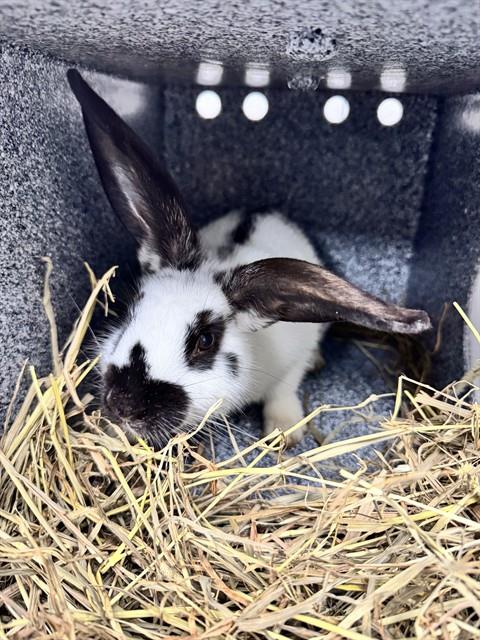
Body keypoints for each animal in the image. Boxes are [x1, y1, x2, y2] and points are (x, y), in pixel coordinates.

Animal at [67, 69, 431, 449]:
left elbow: (284, 389)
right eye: (130, 311)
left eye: (205, 341)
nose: (124, 406)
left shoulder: (292, 360)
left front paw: (284, 432)